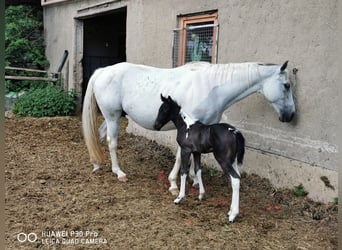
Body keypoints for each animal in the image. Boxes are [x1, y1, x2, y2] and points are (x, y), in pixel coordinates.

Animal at [82, 61, 294, 193]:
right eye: (286, 85)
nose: (290, 115)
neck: (212, 87)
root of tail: (102, 71)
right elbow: (180, 156)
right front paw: (173, 184)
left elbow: (195, 155)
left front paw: (194, 179)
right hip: (112, 116)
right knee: (112, 142)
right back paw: (119, 173)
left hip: (113, 117)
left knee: (100, 135)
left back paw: (96, 164)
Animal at [154, 94, 244, 222]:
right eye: (159, 109)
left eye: (165, 109)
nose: (156, 125)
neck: (186, 126)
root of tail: (234, 132)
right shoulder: (197, 152)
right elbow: (198, 170)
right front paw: (201, 195)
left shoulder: (185, 150)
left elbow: (183, 172)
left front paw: (179, 198)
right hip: (233, 161)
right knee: (236, 178)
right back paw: (230, 211)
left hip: (223, 160)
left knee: (235, 179)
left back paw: (233, 215)